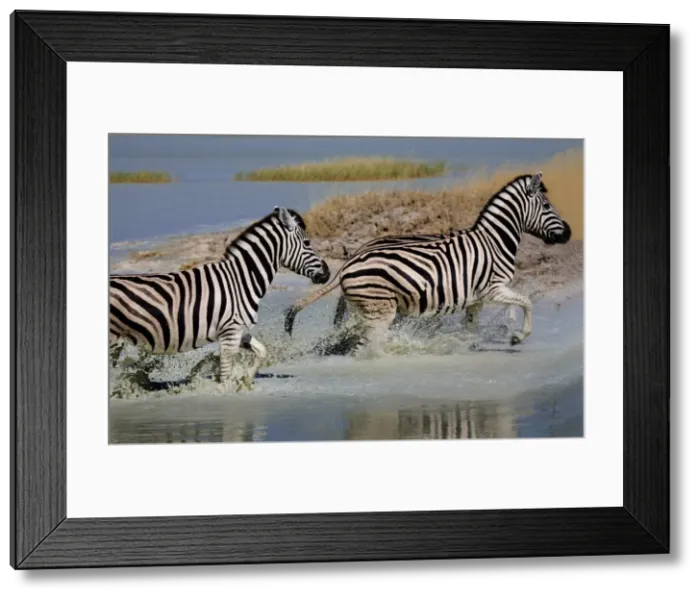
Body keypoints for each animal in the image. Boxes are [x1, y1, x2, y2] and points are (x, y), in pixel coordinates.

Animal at [109, 206, 331, 387]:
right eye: (307, 242)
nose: (327, 273)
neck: (240, 280)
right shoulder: (230, 332)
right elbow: (225, 375)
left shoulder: (238, 329)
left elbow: (262, 351)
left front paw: (246, 379)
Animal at [284, 172, 571, 356]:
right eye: (547, 206)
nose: (568, 233)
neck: (492, 242)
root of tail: (349, 260)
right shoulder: (492, 289)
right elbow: (526, 301)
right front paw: (517, 336)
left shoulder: (477, 299)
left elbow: (473, 327)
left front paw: (468, 344)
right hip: (379, 309)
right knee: (364, 343)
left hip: (364, 307)